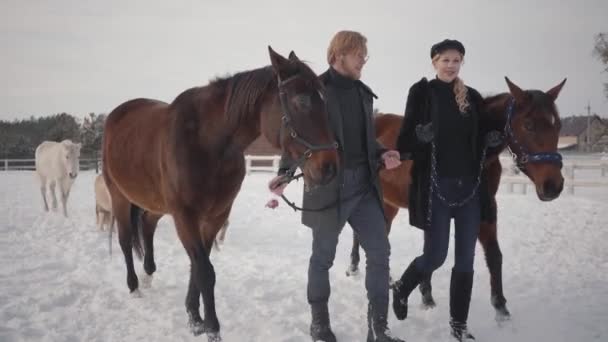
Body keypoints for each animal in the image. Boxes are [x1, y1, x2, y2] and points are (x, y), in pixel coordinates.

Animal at [100, 46, 338, 340]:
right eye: (302, 101)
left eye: (324, 101)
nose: (329, 168)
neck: (207, 143)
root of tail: (116, 115)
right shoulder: (185, 216)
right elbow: (204, 271)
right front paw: (211, 327)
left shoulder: (215, 216)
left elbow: (198, 266)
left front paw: (194, 318)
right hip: (120, 198)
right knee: (124, 240)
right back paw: (134, 286)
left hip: (156, 204)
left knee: (146, 225)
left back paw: (148, 274)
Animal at [350, 77, 568, 320]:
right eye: (528, 125)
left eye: (558, 125)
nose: (553, 185)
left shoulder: (485, 208)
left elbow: (493, 255)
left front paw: (501, 309)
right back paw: (355, 268)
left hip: (389, 204)